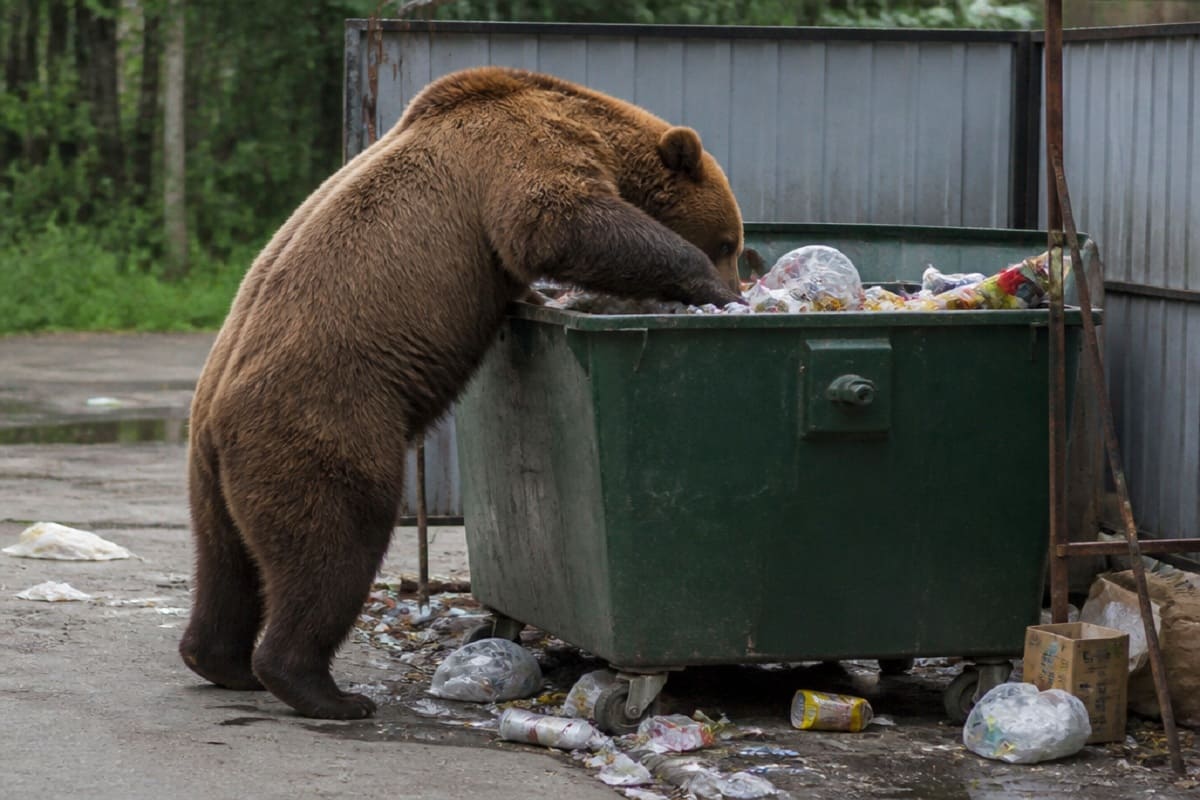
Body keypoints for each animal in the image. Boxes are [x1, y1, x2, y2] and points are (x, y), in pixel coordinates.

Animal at [179, 65, 745, 720]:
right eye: (728, 243)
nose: (738, 279)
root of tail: (215, 423)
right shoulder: (519, 154)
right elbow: (559, 223)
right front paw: (703, 285)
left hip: (212, 475)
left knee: (226, 560)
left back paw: (219, 660)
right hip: (325, 422)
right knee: (333, 543)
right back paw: (324, 690)